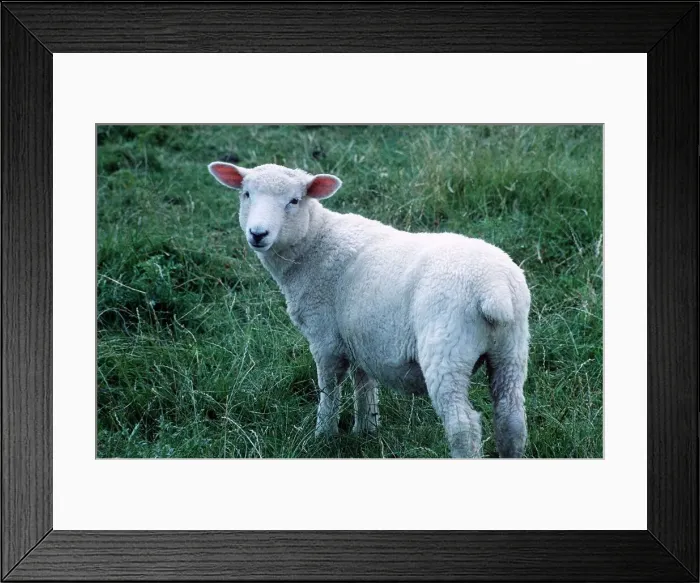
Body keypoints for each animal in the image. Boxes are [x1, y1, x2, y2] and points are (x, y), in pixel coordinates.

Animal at [208, 161, 531, 458]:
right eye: (246, 194)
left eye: (294, 200)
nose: (258, 233)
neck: (313, 245)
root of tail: (493, 287)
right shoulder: (360, 337)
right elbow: (364, 383)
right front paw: (366, 429)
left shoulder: (325, 338)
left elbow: (329, 389)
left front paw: (324, 435)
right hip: (511, 348)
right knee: (511, 417)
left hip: (447, 348)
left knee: (463, 425)